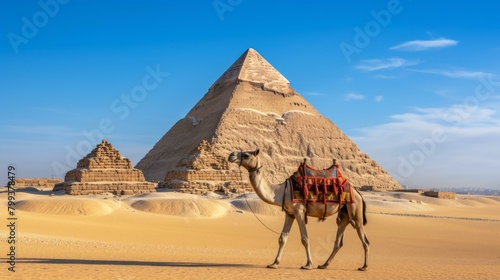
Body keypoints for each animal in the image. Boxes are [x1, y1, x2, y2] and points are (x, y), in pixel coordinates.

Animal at [229, 150, 370, 270]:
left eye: (246, 155)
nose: (231, 155)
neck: (282, 191)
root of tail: (357, 192)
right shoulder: (289, 213)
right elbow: (282, 238)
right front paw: (274, 263)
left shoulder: (299, 211)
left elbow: (305, 238)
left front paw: (308, 264)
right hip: (345, 214)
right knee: (338, 241)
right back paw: (324, 265)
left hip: (355, 210)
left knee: (364, 238)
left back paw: (364, 266)